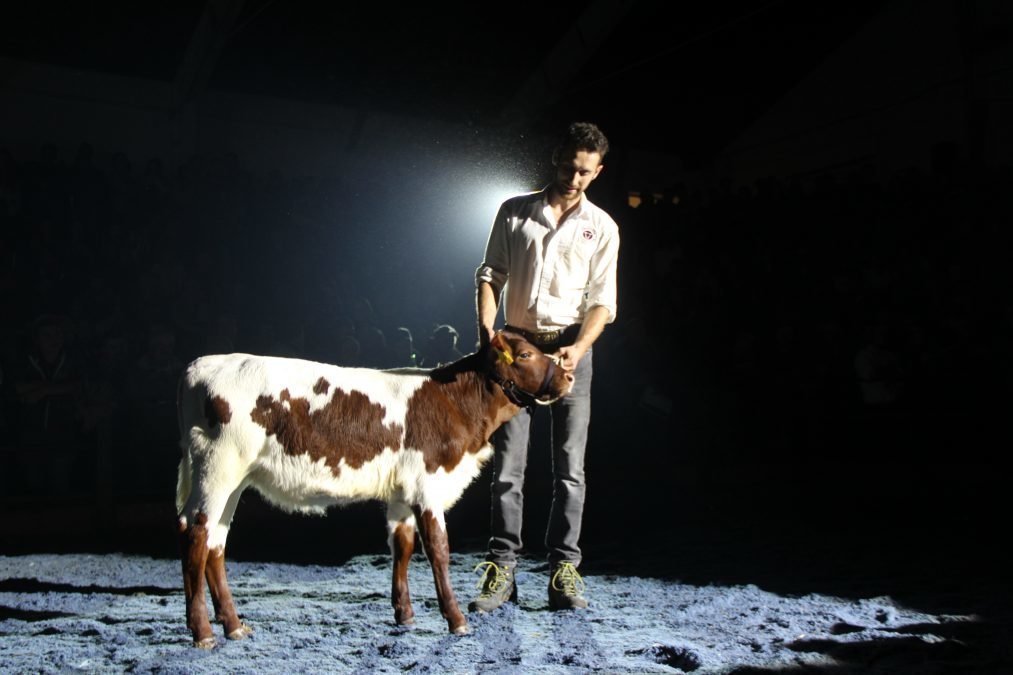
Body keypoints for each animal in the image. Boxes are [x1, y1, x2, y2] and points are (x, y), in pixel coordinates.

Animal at [174, 328, 571, 644]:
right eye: (525, 355)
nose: (567, 375)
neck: (456, 403)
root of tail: (203, 365)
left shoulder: (402, 491)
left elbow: (403, 547)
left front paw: (405, 615)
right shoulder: (427, 484)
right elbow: (439, 550)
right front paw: (456, 620)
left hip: (234, 480)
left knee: (216, 543)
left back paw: (234, 626)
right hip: (217, 470)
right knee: (196, 535)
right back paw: (203, 632)